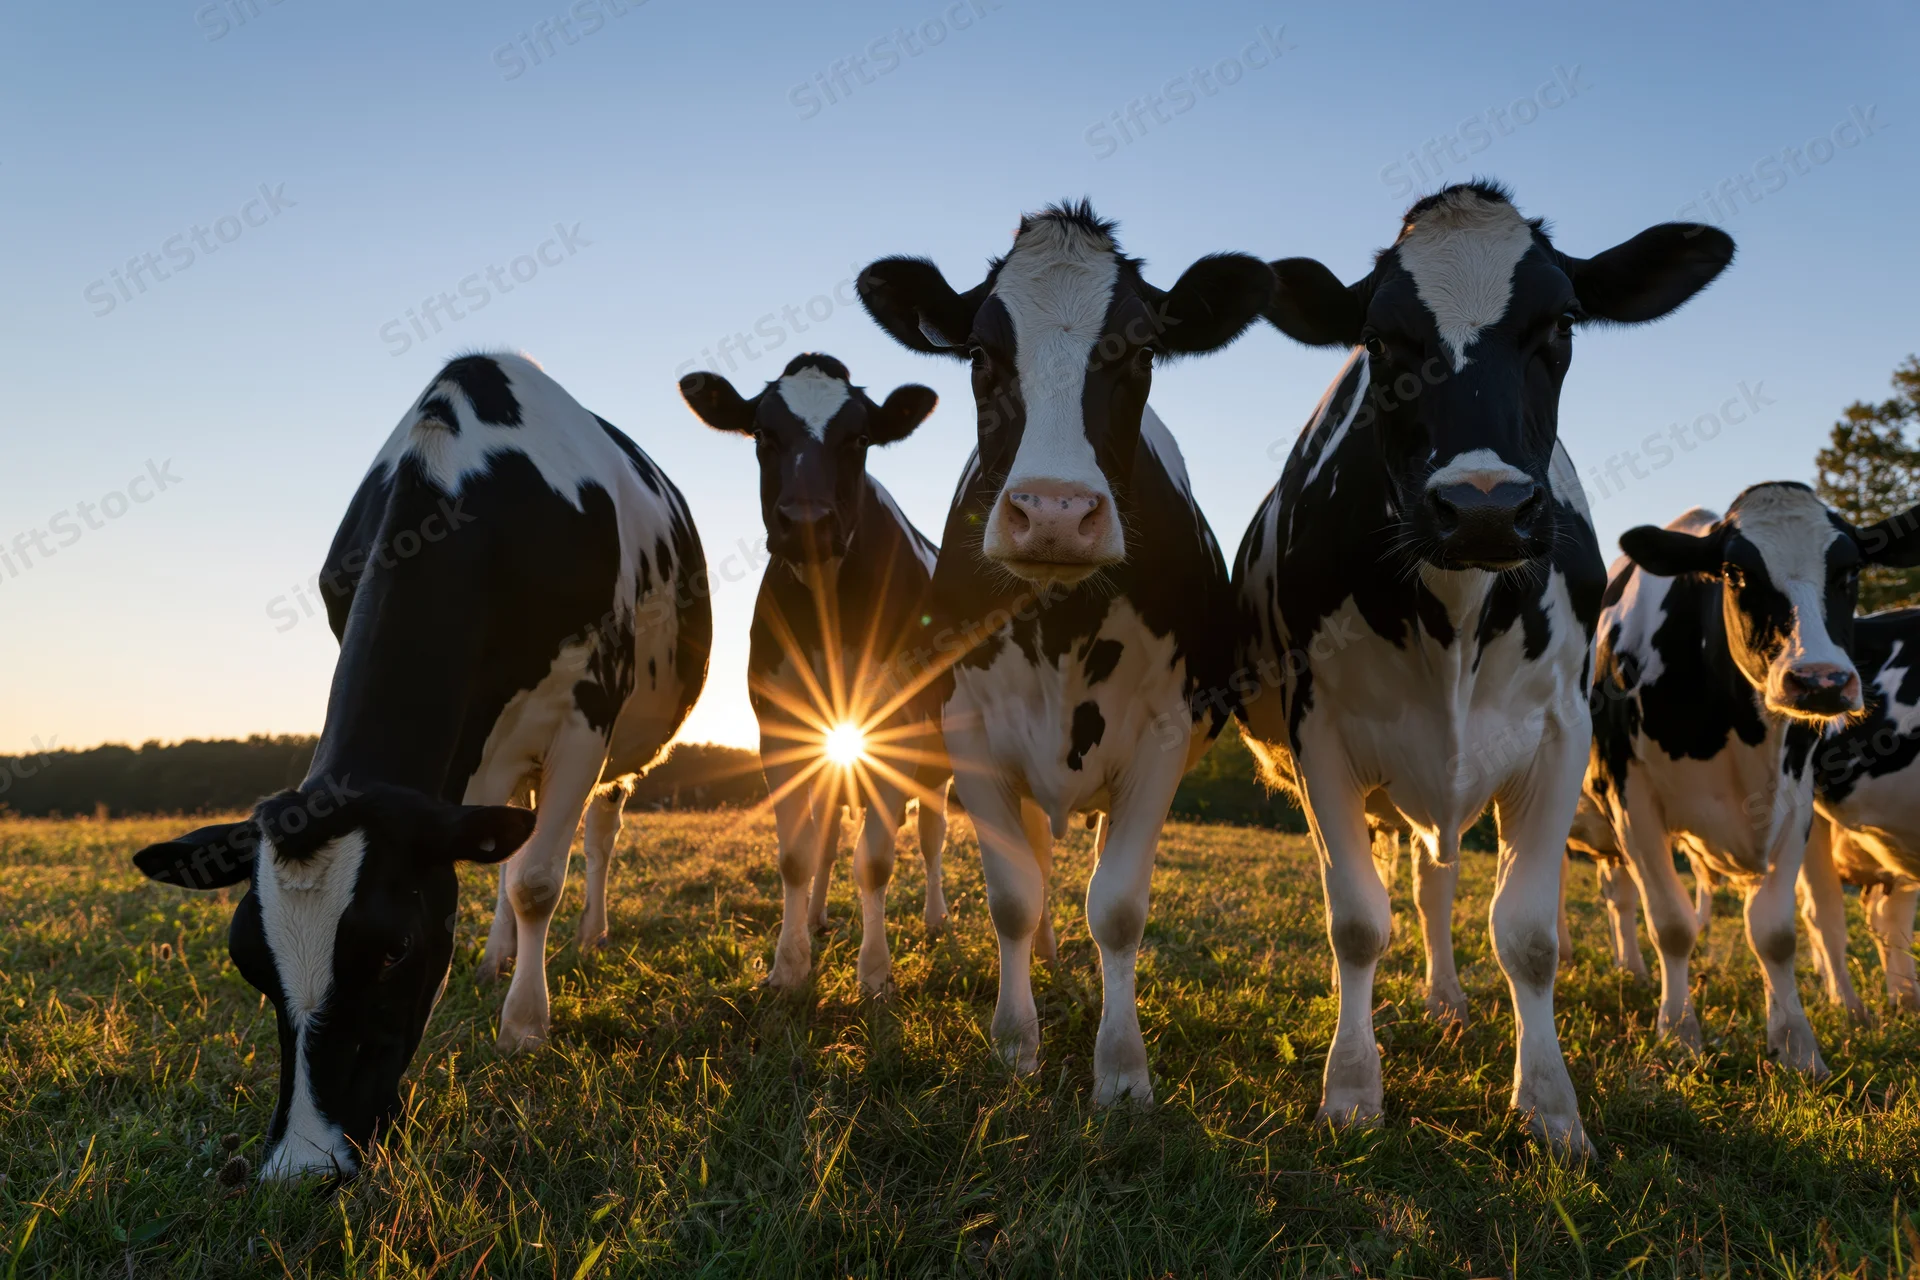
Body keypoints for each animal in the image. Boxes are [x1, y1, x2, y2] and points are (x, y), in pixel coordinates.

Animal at [132, 353, 710, 1179]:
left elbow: (538, 881)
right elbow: (499, 867)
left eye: (396, 949)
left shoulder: (587, 709)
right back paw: (498, 957)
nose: (305, 1165)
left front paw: (524, 1027)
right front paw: (499, 971)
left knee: (597, 831)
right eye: (247, 961)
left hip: (624, 742)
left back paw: (588, 933)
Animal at [678, 352, 952, 995]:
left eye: (860, 438)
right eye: (762, 434)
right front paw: (789, 964)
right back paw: (819, 916)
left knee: (931, 832)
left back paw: (934, 918)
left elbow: (875, 859)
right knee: (829, 833)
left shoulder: (892, 723)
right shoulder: (780, 724)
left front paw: (874, 973)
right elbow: (798, 852)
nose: (806, 520)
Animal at [857, 200, 1272, 1105]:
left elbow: (1116, 906)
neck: (1061, 624)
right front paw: (1015, 1044)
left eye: (1142, 350)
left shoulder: (1163, 736)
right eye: (980, 354)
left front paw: (1120, 1070)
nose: (1053, 512)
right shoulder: (971, 729)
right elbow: (1013, 894)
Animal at [1234, 181, 1734, 1154]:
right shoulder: (1321, 737)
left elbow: (1530, 934)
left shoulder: (1560, 732)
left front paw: (1549, 1106)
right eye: (1381, 337)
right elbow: (1357, 922)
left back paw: (1447, 1001)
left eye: (1561, 323)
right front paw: (1352, 1091)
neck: (1457, 612)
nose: (1484, 507)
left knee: (1437, 887)